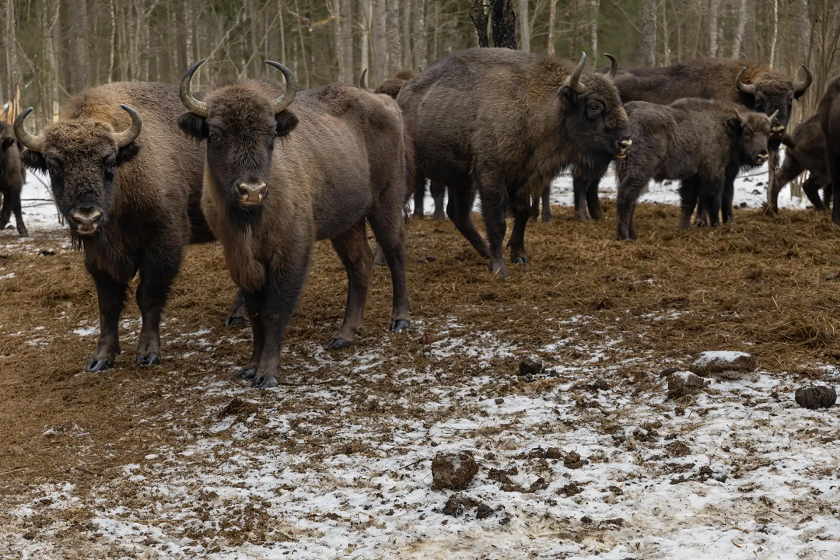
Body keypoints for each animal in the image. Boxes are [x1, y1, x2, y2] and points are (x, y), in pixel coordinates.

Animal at [14, 82, 242, 371]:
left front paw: (148, 353)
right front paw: (101, 358)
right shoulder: (99, 258)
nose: (87, 217)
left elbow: (149, 297)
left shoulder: (164, 243)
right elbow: (108, 304)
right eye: (54, 166)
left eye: (110, 162)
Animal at [178, 60, 411, 389]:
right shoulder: (241, 259)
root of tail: (387, 103)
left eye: (271, 134)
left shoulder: (291, 252)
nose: (252, 190)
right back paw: (344, 335)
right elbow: (255, 315)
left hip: (385, 202)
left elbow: (274, 311)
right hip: (347, 223)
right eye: (216, 134)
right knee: (360, 265)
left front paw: (267, 374)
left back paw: (400, 319)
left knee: (394, 250)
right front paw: (250, 367)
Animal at [398, 48, 631, 278]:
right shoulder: (491, 176)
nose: (625, 142)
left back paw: (484, 251)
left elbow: (523, 213)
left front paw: (519, 256)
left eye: (618, 99)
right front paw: (500, 269)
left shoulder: (525, 177)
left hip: (462, 179)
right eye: (594, 106)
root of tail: (402, 97)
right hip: (419, 172)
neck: (536, 108)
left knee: (458, 214)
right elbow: (497, 224)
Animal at [615, 99, 774, 239]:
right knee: (627, 194)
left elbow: (689, 201)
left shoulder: (693, 177)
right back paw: (625, 237)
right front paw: (716, 225)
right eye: (747, 133)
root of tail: (630, 112)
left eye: (767, 133)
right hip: (640, 171)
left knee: (631, 199)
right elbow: (714, 199)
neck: (726, 128)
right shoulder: (715, 173)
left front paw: (685, 227)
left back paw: (632, 235)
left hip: (625, 171)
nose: (762, 155)